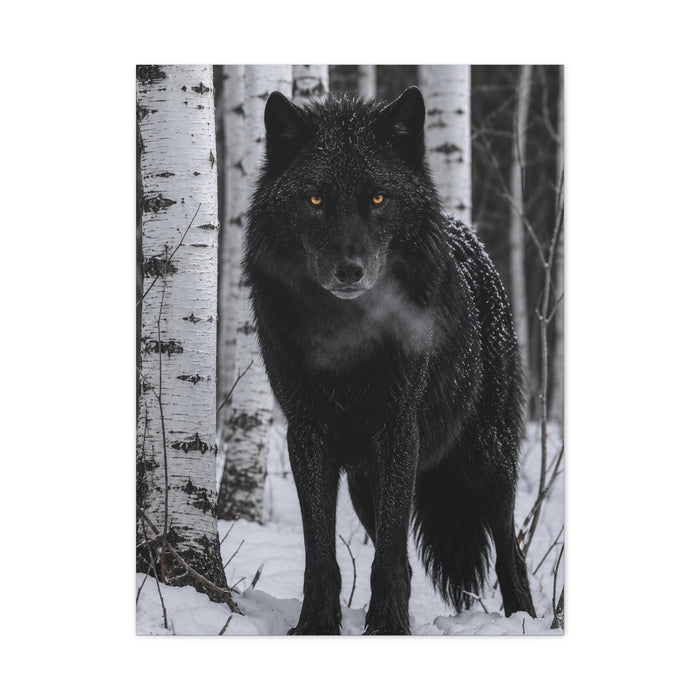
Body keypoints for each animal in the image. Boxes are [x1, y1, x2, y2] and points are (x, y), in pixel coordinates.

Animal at [244, 86, 535, 634]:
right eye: (315, 199)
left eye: (378, 199)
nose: (350, 270)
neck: (347, 335)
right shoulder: (307, 434)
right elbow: (323, 553)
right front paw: (317, 625)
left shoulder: (398, 430)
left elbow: (390, 555)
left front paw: (388, 627)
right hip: (365, 484)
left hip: (488, 458)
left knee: (512, 551)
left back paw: (525, 621)